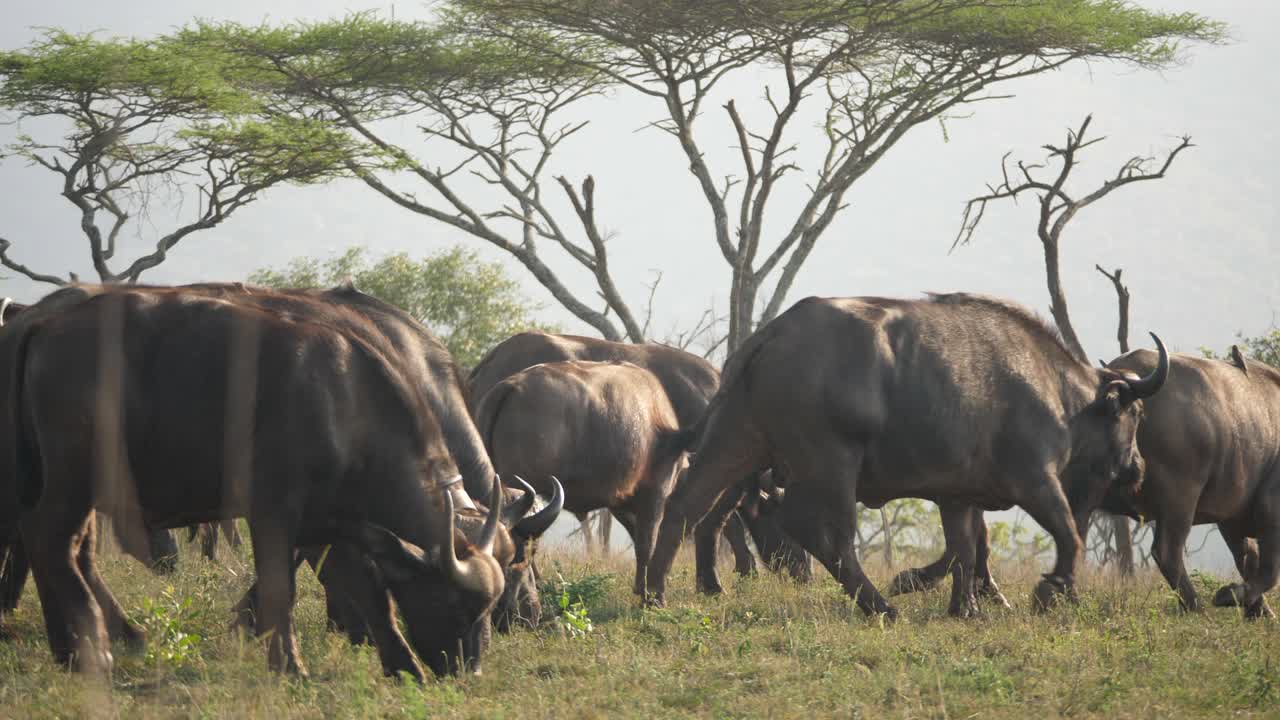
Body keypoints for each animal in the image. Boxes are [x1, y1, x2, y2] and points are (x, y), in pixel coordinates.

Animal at [644, 293, 1168, 617]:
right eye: (1136, 414)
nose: (1137, 467)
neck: (1058, 391)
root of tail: (771, 334)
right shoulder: (1035, 480)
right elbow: (1066, 534)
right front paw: (1049, 589)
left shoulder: (958, 494)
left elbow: (964, 548)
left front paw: (963, 606)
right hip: (831, 462)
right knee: (823, 533)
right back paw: (879, 605)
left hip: (738, 438)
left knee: (687, 504)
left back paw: (655, 594)